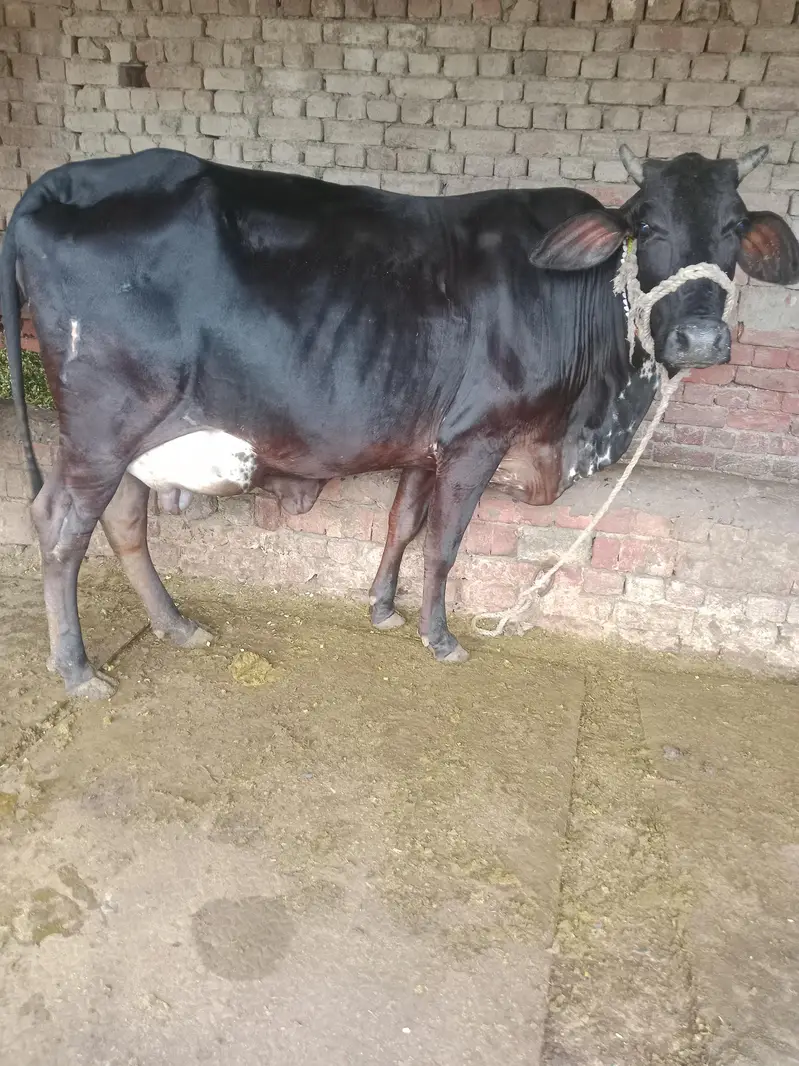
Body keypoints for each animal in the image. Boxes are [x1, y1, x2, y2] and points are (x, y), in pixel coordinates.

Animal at [1, 144, 797, 698]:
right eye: (647, 225)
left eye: (733, 227)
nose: (700, 339)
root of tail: (61, 182)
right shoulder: (479, 436)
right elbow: (444, 544)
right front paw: (437, 635)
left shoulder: (428, 443)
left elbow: (403, 523)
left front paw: (382, 606)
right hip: (103, 425)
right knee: (60, 525)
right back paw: (76, 669)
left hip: (140, 434)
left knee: (124, 521)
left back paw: (174, 625)